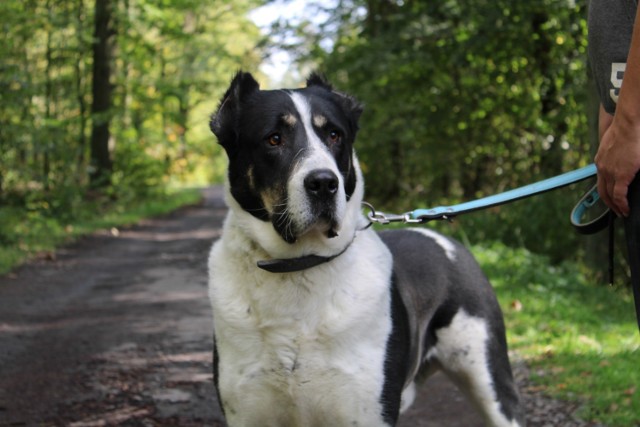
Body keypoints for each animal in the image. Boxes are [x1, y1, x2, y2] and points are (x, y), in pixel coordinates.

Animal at [208, 73, 524, 427]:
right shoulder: (246, 412)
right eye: (273, 139)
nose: (323, 183)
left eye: (334, 135)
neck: (299, 266)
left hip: (491, 380)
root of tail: (446, 239)